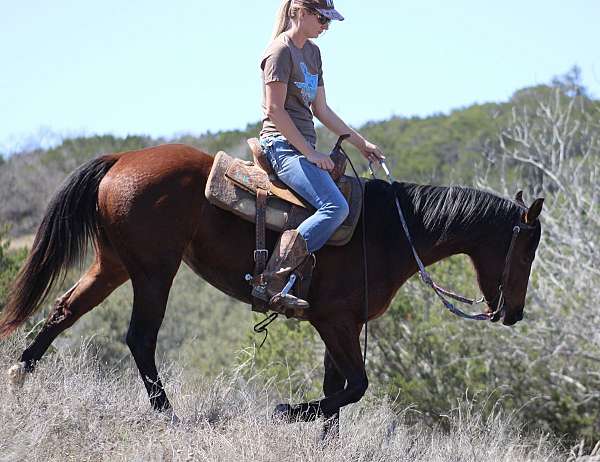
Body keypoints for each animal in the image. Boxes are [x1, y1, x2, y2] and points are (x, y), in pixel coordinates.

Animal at [0, 143, 544, 432]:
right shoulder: (336, 323)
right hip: (154, 271)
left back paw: (20, 376)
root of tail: (123, 157)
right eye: (526, 250)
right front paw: (286, 411)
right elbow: (355, 387)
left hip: (112, 265)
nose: (513, 313)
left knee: (63, 312)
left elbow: (338, 391)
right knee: (140, 337)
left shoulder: (340, 326)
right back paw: (167, 414)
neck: (391, 231)